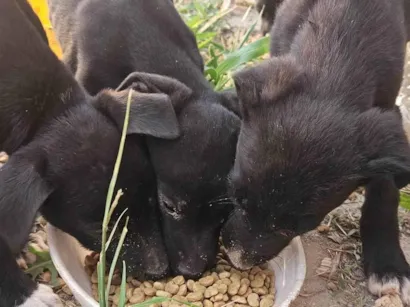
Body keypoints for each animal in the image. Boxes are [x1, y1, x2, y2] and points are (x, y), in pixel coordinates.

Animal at [221, 0, 410, 304]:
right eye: (237, 197)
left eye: (296, 226)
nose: (237, 260)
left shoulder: (387, 115)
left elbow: (385, 189)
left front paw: (388, 266)